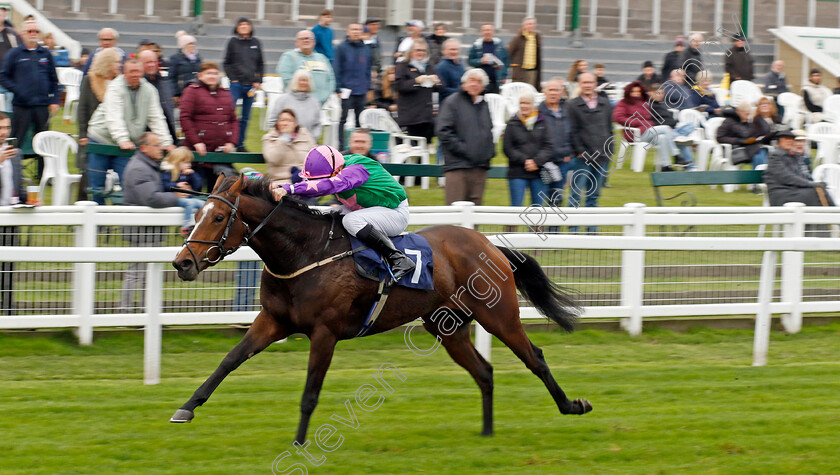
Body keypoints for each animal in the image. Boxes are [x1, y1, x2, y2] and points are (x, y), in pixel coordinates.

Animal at [169, 176, 592, 446]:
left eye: (218, 217)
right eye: (197, 215)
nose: (182, 263)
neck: (304, 253)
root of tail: (489, 244)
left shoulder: (324, 332)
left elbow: (310, 392)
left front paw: (300, 443)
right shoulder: (272, 321)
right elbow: (228, 361)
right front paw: (186, 408)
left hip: (498, 314)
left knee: (534, 357)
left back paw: (573, 405)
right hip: (447, 327)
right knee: (484, 371)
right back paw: (487, 433)